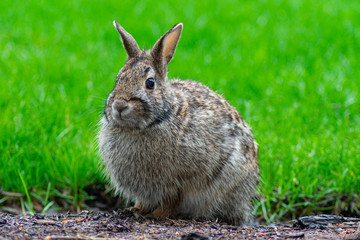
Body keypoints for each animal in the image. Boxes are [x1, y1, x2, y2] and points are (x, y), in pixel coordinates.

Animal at [98, 20, 258, 225]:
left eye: (150, 83)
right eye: (118, 79)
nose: (119, 105)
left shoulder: (180, 181)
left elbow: (172, 200)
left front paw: (157, 215)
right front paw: (136, 209)